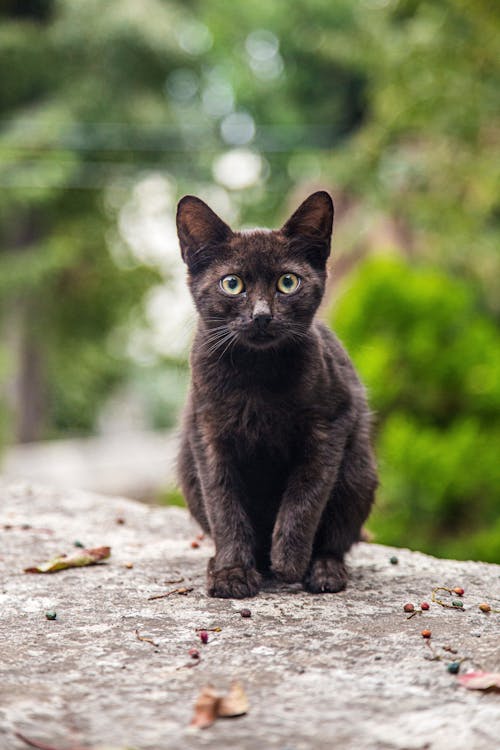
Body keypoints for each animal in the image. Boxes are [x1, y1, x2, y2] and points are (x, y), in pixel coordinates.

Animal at [176, 192, 376, 600]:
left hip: (358, 472)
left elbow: (306, 495)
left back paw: (324, 569)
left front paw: (289, 563)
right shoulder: (207, 433)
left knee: (337, 538)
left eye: (288, 282)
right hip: (187, 469)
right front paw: (232, 572)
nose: (262, 316)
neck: (256, 374)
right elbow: (222, 504)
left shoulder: (331, 423)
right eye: (232, 284)